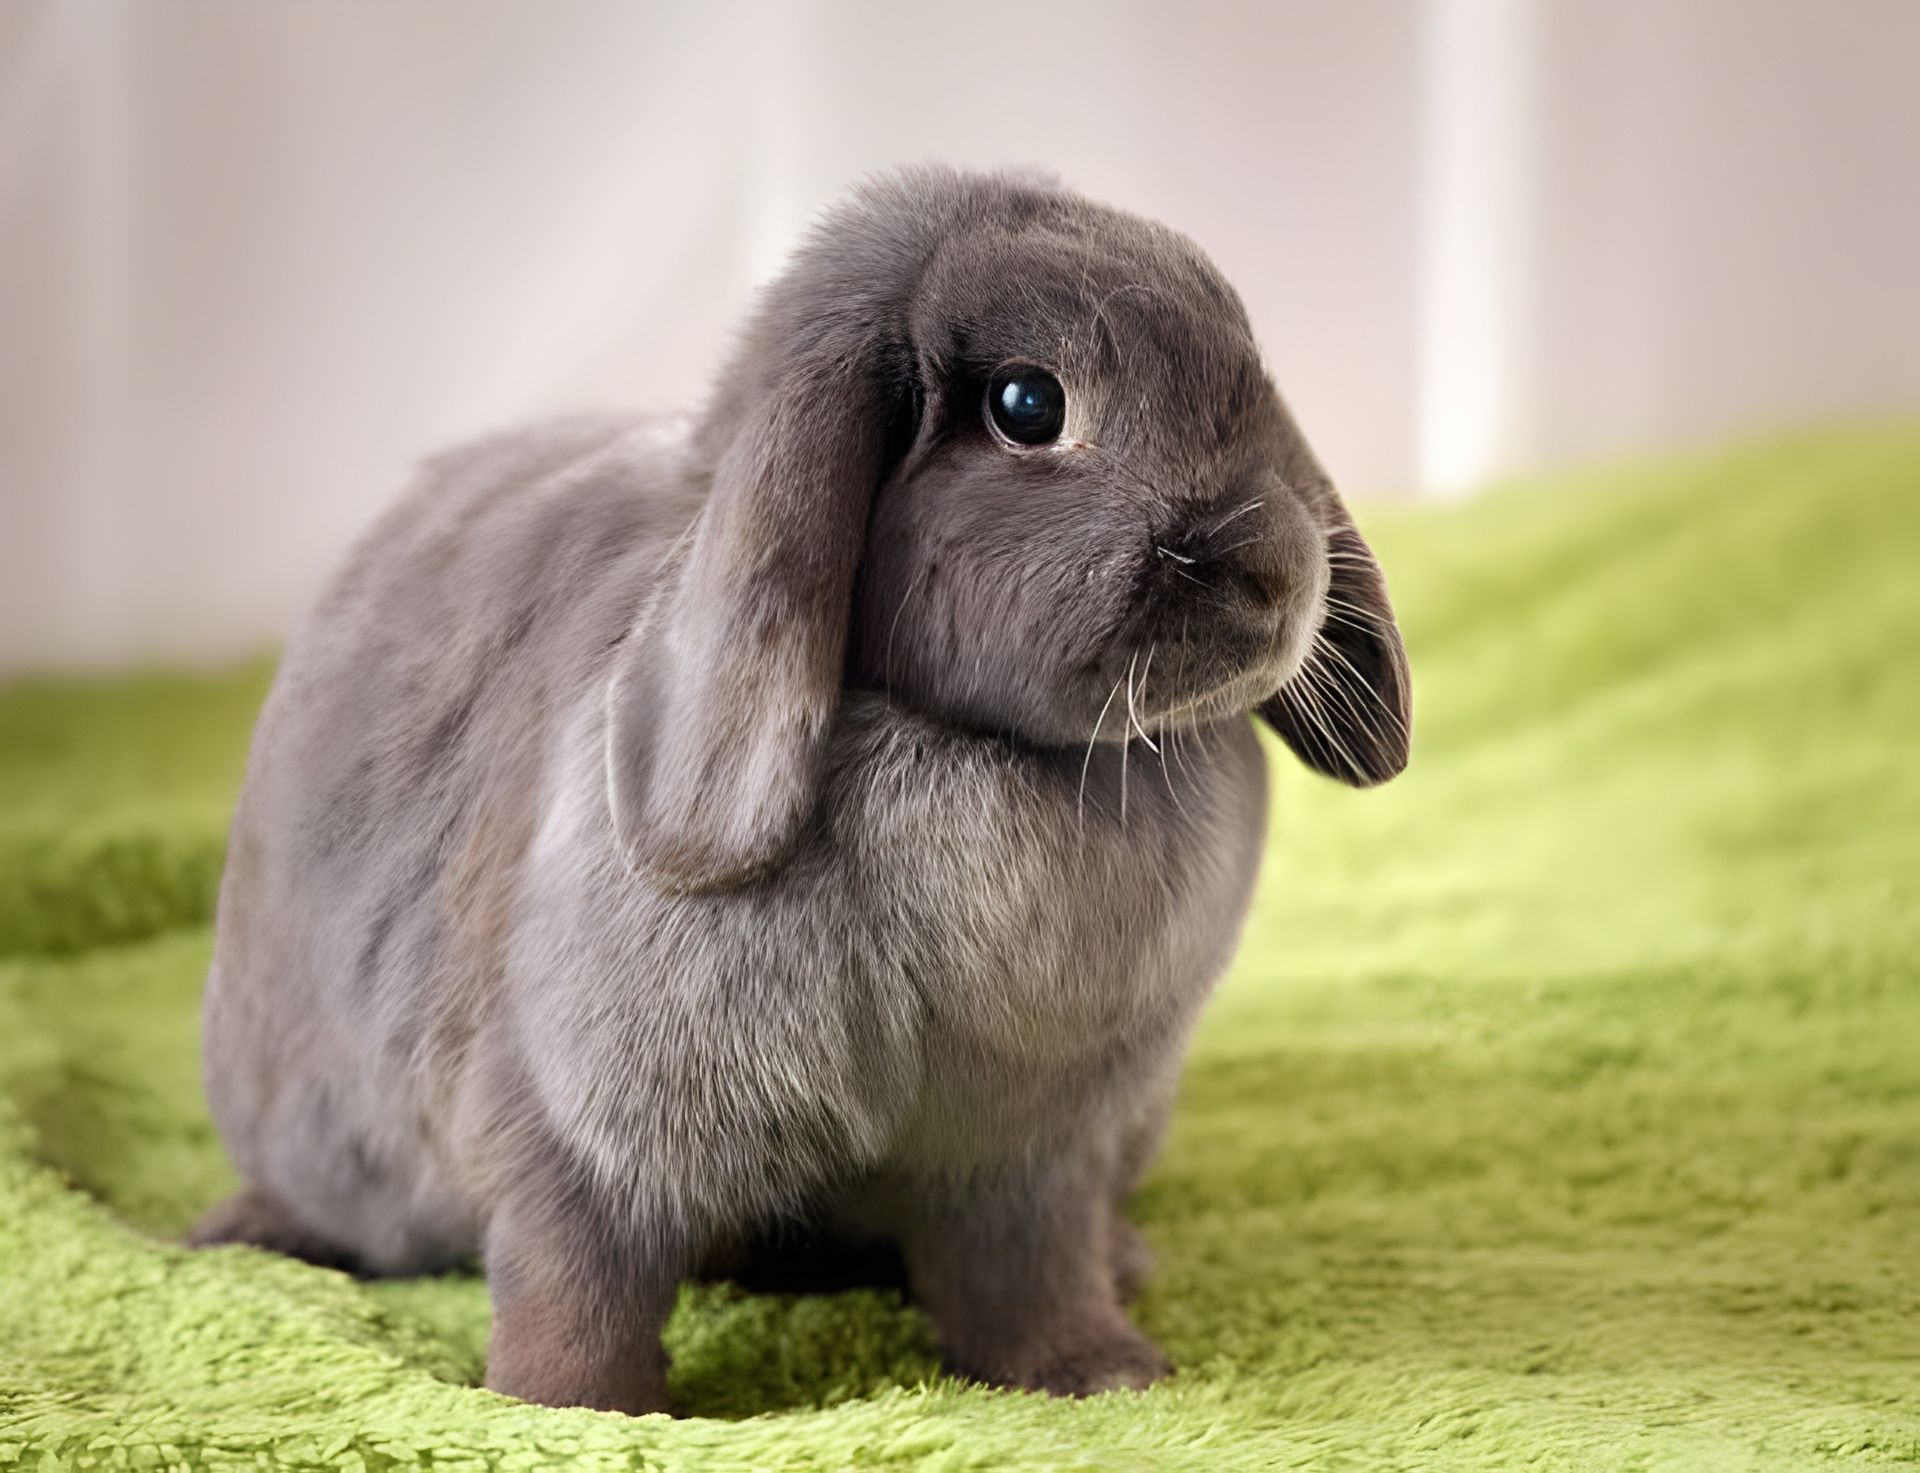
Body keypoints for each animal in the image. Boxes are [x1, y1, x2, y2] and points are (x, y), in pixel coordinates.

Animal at [190, 164, 1411, 1415]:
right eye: (1028, 405)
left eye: (1252, 373)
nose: (1276, 574)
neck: (988, 751)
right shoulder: (580, 1134)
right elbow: (574, 1281)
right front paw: (573, 1411)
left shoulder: (1029, 1152)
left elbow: (1028, 1276)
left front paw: (1100, 1373)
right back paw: (244, 1232)